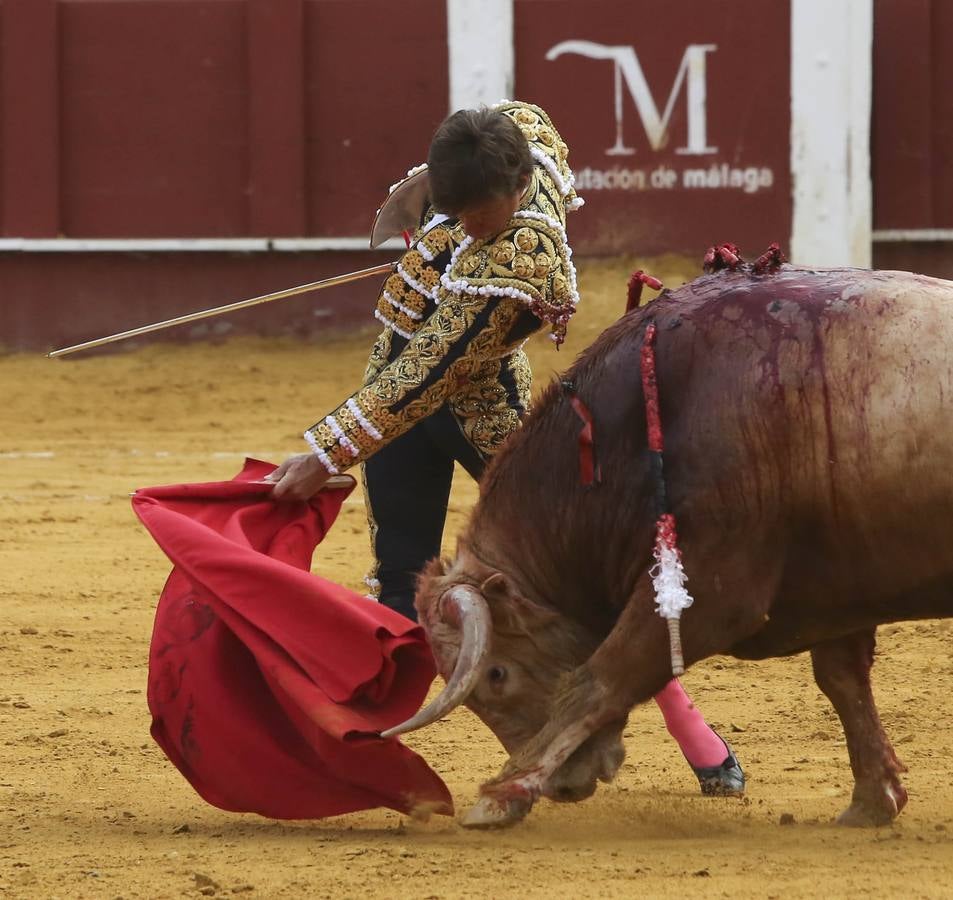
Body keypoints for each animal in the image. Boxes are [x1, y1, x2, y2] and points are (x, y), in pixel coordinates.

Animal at [384, 255, 952, 828]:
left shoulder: (713, 590)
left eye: (497, 674)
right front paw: (873, 800)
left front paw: (499, 795)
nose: (566, 786)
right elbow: (843, 682)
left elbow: (600, 678)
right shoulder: (835, 590)